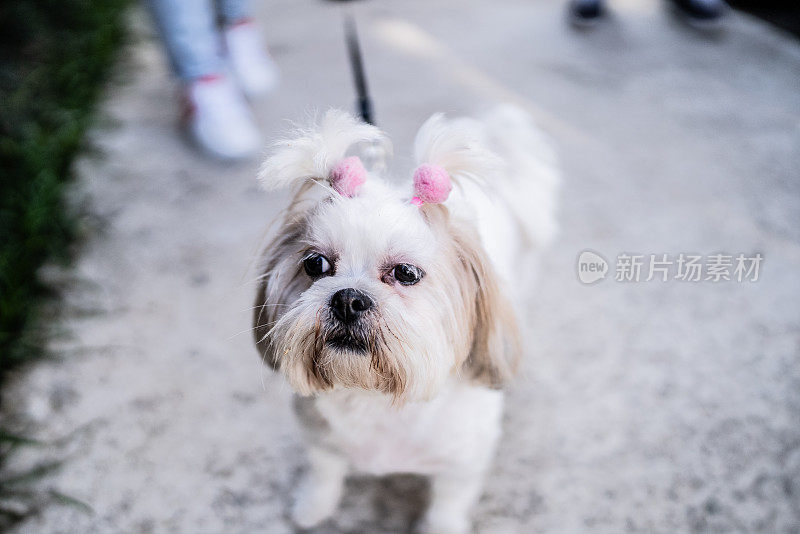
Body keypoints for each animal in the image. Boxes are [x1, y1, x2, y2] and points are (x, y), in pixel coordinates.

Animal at [253, 107, 560, 532]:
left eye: (406, 273)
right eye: (315, 264)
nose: (348, 299)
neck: (379, 398)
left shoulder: (463, 467)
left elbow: (447, 506)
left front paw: (441, 527)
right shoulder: (319, 438)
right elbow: (324, 473)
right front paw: (313, 506)